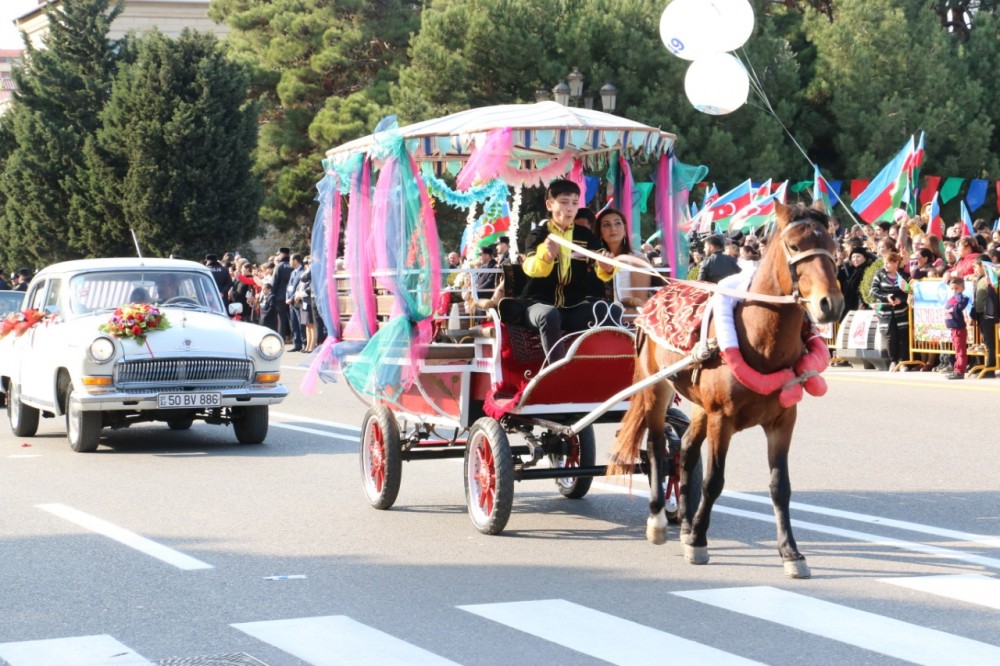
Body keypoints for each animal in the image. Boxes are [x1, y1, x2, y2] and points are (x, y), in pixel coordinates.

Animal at [608, 201, 844, 576]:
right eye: (794, 246)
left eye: (833, 246)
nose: (829, 304)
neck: (761, 340)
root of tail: (658, 292)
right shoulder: (723, 419)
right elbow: (714, 481)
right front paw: (699, 542)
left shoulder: (783, 421)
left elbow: (780, 486)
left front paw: (790, 552)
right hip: (656, 388)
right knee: (658, 446)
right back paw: (659, 519)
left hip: (699, 405)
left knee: (686, 451)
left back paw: (684, 521)